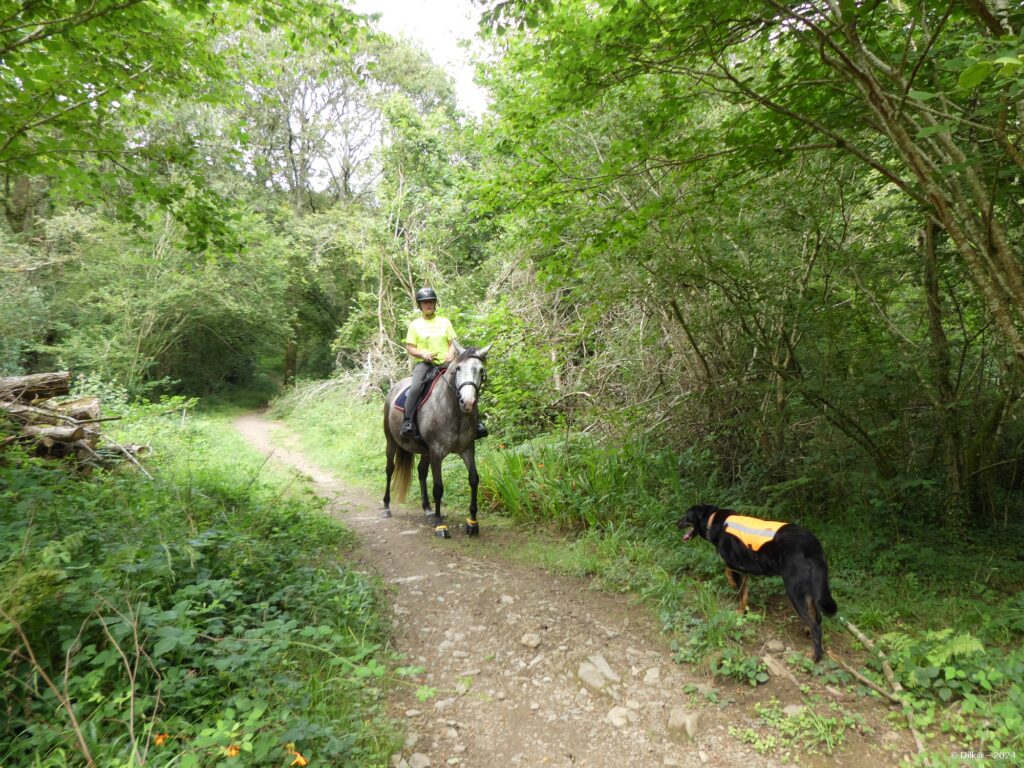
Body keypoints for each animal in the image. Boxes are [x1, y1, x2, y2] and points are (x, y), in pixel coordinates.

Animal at [385, 342, 493, 536]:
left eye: (481, 370)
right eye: (458, 369)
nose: (468, 402)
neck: (454, 412)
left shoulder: (467, 449)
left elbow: (474, 479)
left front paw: (472, 523)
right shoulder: (437, 451)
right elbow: (438, 487)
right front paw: (439, 525)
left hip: (425, 451)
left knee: (421, 472)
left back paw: (427, 509)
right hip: (391, 441)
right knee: (390, 469)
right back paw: (386, 507)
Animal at [675, 505, 835, 663]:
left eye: (686, 515)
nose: (676, 523)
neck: (714, 521)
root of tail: (812, 545)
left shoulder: (735, 565)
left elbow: (735, 583)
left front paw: (738, 608)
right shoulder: (743, 568)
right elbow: (743, 590)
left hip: (794, 590)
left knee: (815, 626)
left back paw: (815, 656)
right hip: (812, 589)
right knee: (817, 617)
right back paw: (810, 635)